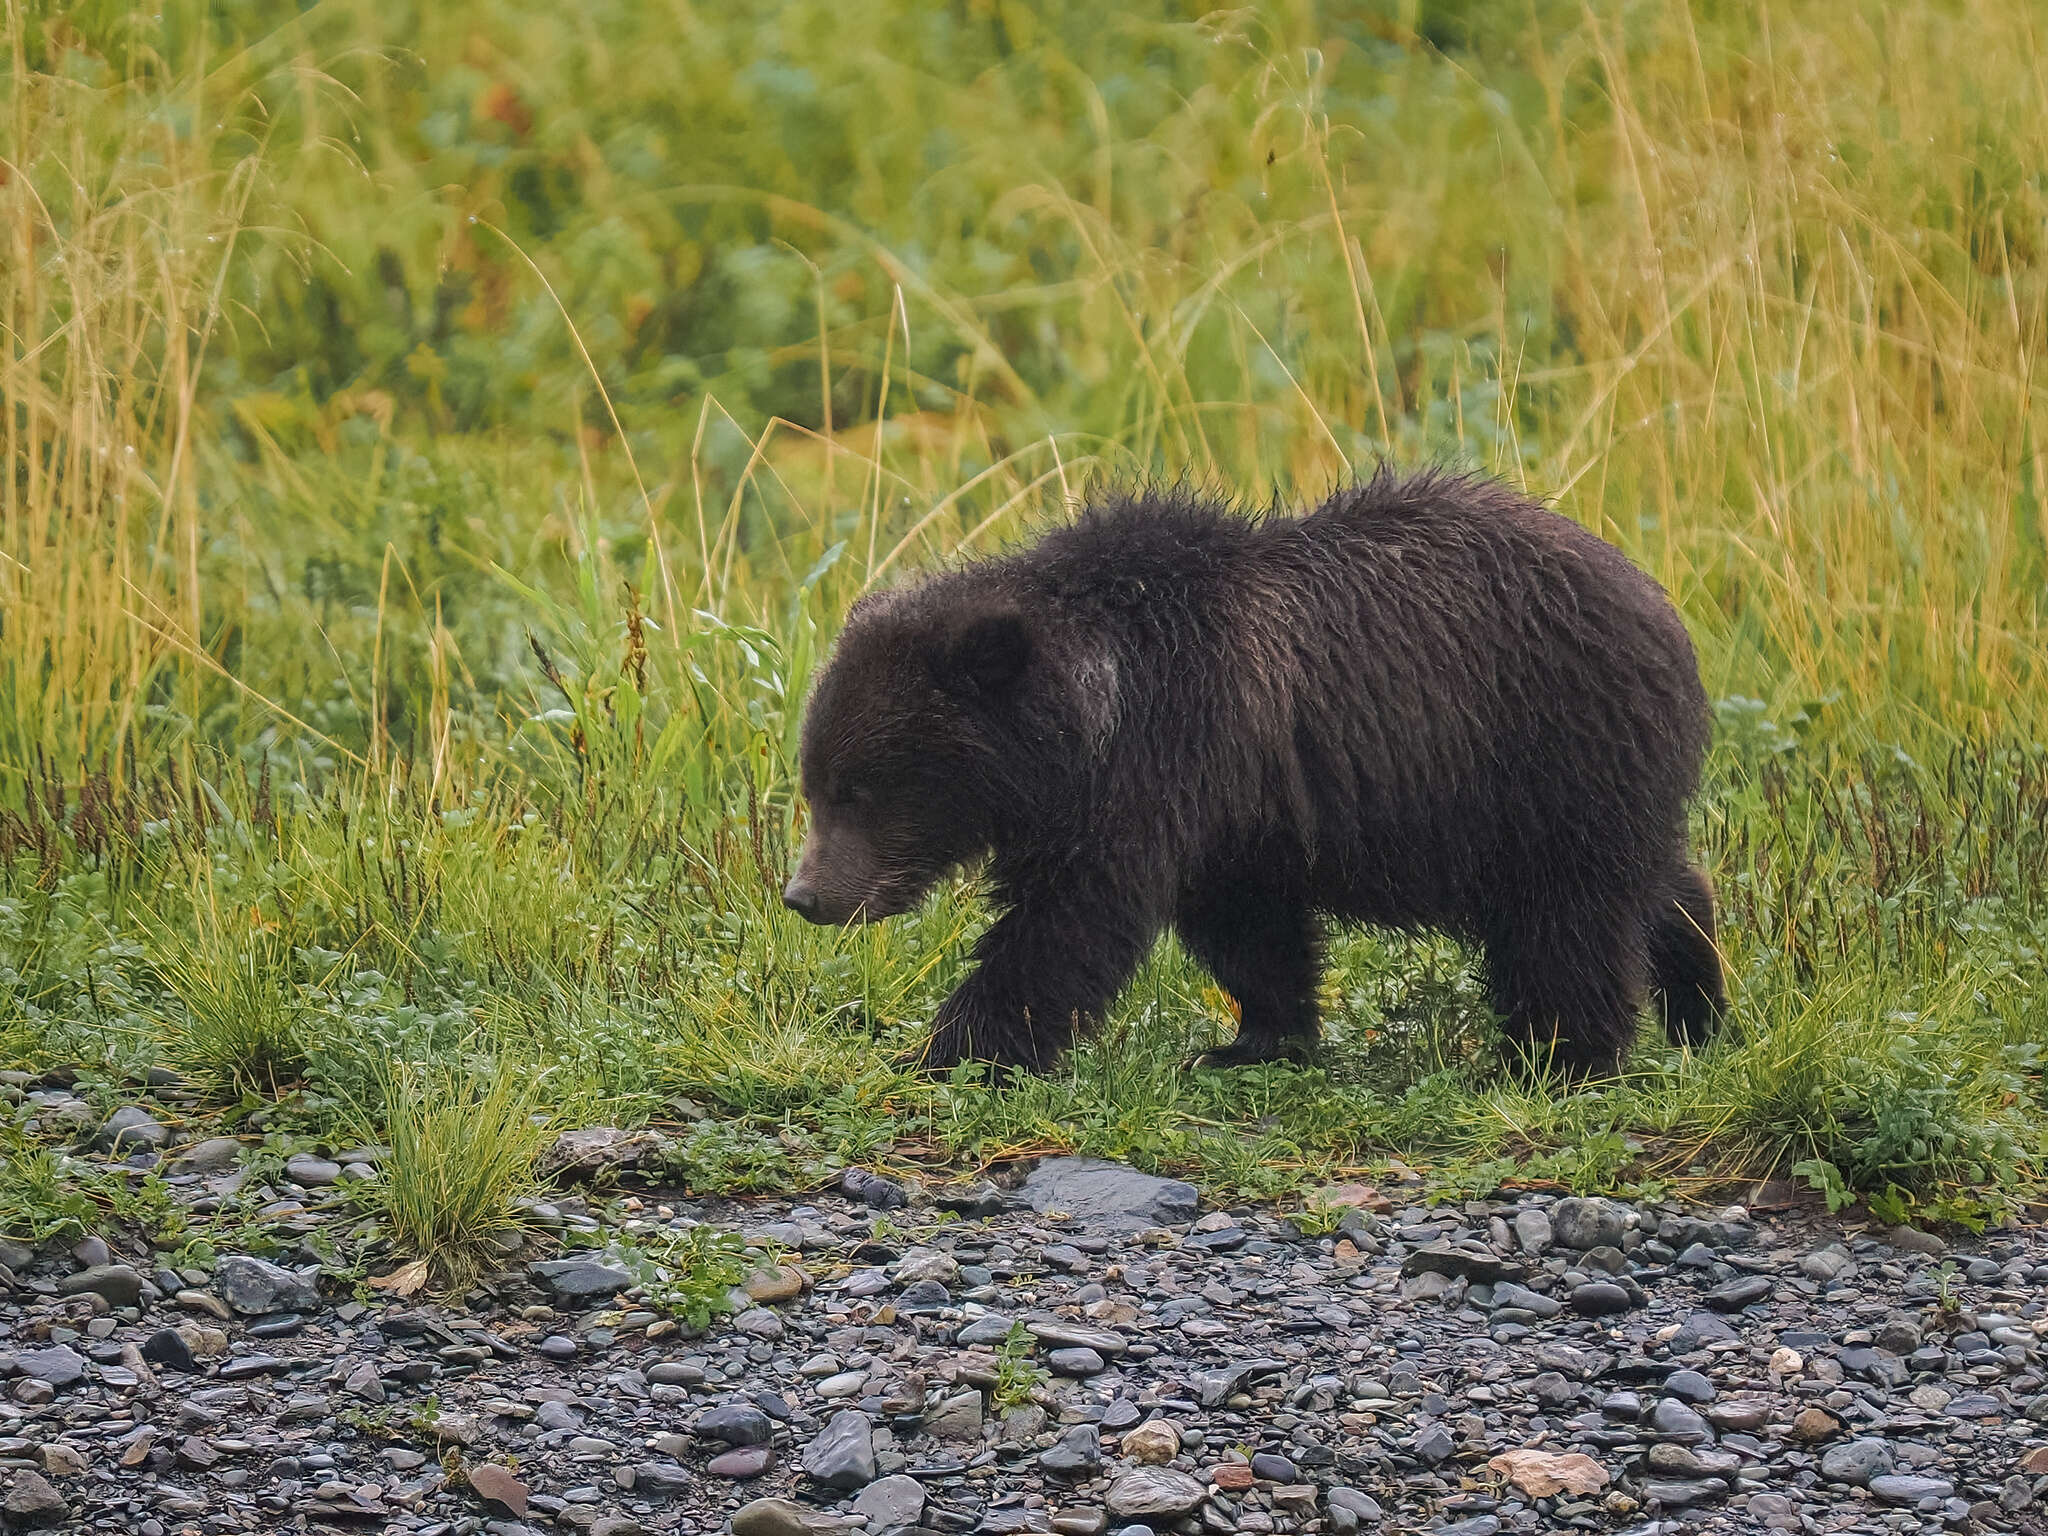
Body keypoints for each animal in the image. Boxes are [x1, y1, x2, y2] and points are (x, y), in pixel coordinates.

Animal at [782, 468, 1728, 1081]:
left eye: (858, 789)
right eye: (815, 781)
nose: (805, 896)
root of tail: (1660, 606)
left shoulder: (1161, 760)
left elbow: (1065, 925)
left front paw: (947, 1050)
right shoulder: (1228, 809)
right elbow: (1248, 928)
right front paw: (1252, 1040)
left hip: (1541, 756)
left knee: (1568, 918)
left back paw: (1559, 1059)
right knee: (1649, 884)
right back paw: (1698, 1002)